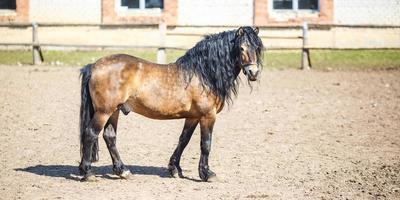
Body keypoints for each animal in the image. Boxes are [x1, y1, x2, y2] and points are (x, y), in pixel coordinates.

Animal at [79, 26, 264, 181]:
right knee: (90, 133)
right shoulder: (207, 116)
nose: (253, 73)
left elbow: (184, 140)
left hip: (114, 111)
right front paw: (207, 173)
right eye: (241, 48)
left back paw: (122, 171)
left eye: (257, 48)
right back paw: (88, 173)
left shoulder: (193, 117)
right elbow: (206, 144)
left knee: (109, 137)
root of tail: (93, 66)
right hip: (104, 111)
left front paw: (175, 169)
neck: (203, 74)